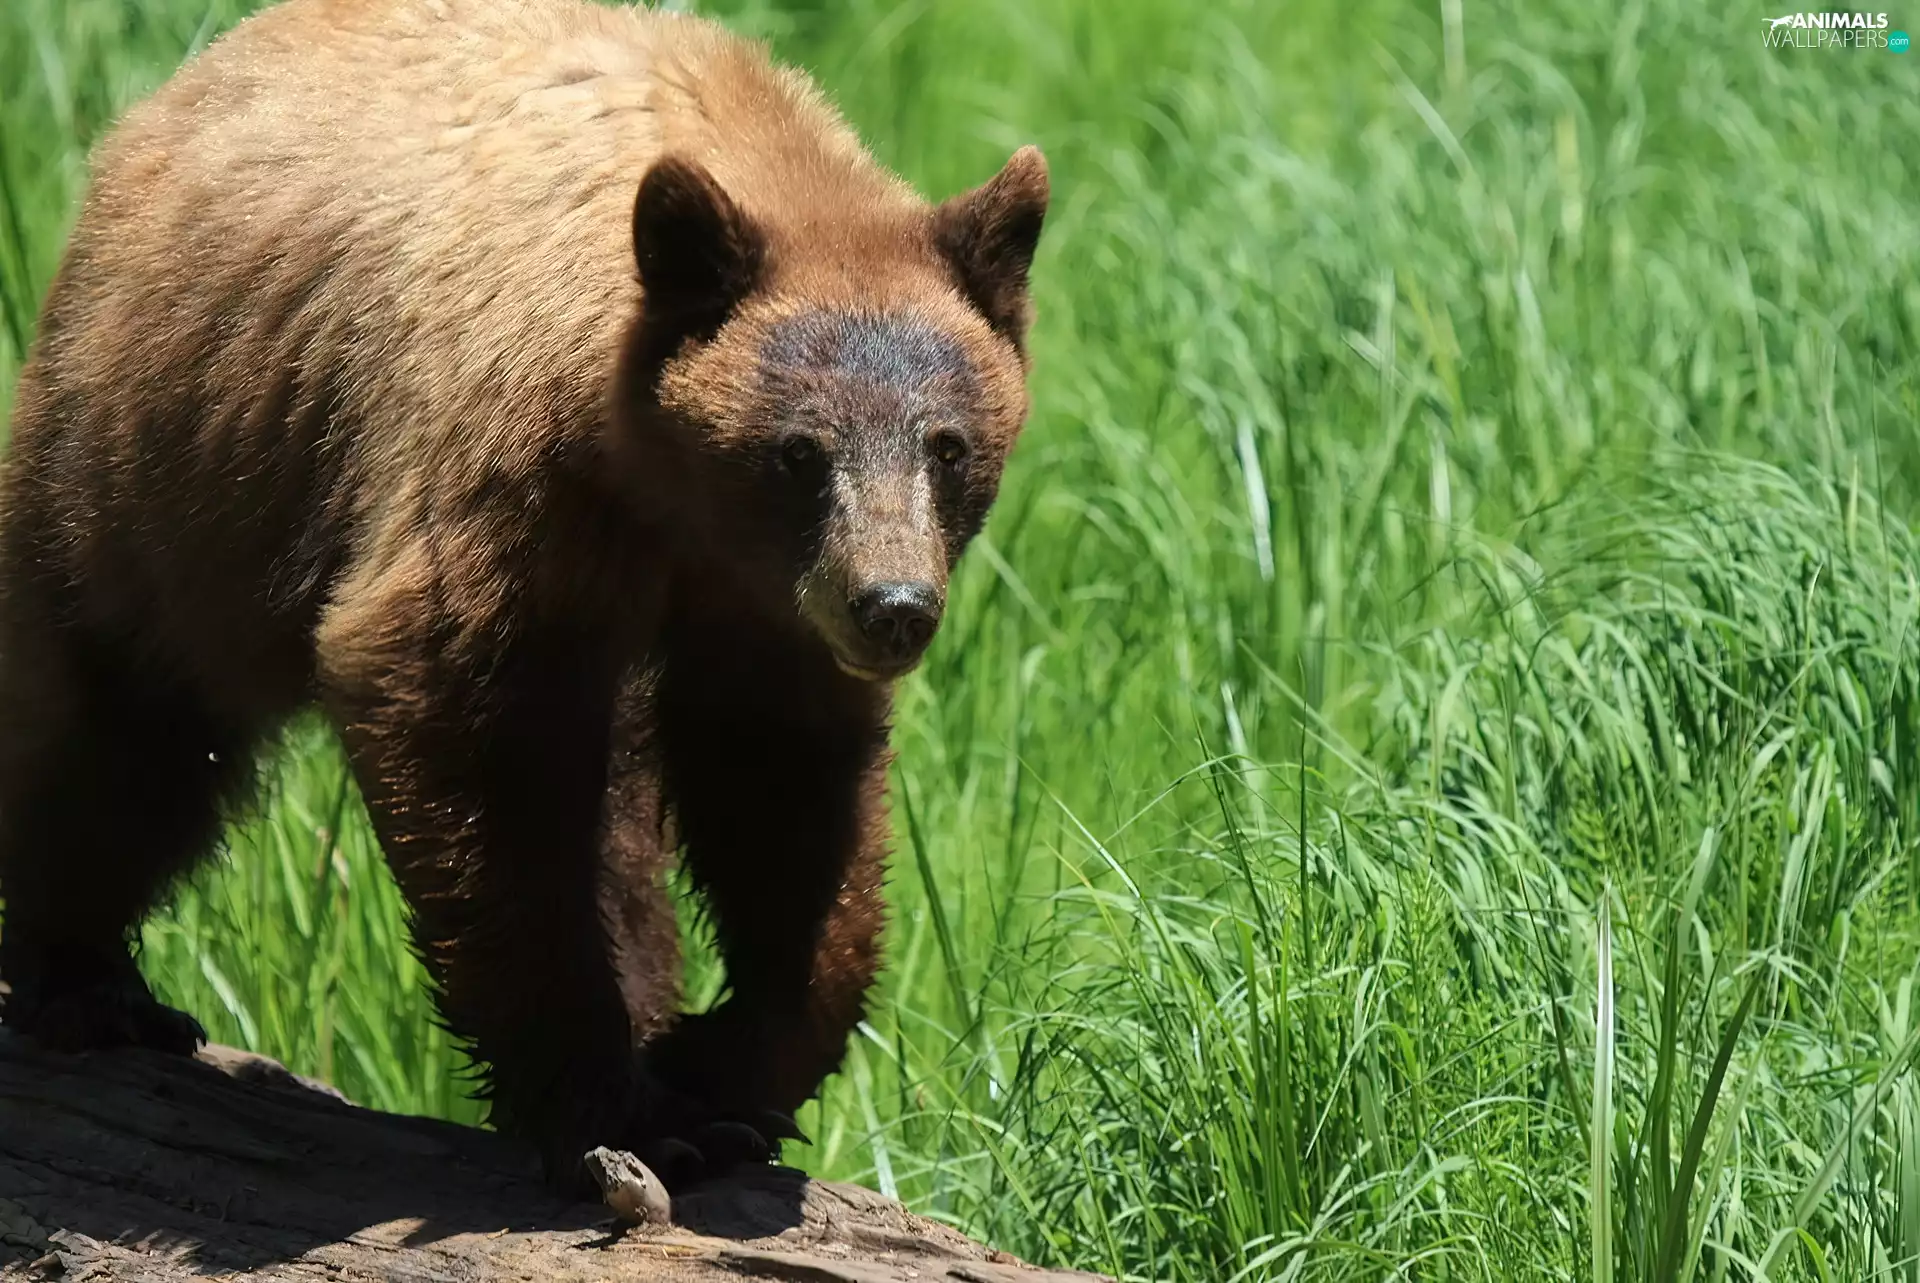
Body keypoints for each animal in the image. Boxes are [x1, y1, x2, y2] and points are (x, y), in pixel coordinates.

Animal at [0, 0, 1046, 1192]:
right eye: (798, 450)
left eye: (948, 444)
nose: (894, 605)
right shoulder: (512, 475)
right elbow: (464, 722)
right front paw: (620, 1106)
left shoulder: (758, 602)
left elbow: (784, 787)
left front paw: (725, 1066)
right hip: (162, 462)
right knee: (115, 720)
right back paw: (86, 984)